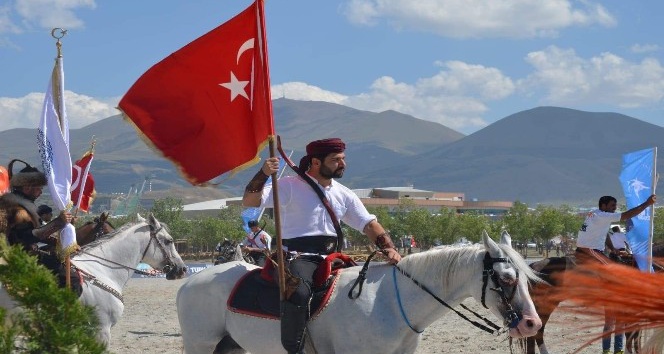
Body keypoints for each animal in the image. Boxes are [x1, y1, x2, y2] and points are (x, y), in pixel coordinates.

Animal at [178, 231, 544, 352]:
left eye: (527, 278)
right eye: (505, 278)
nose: (532, 324)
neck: (393, 303)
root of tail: (189, 282)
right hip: (200, 345)